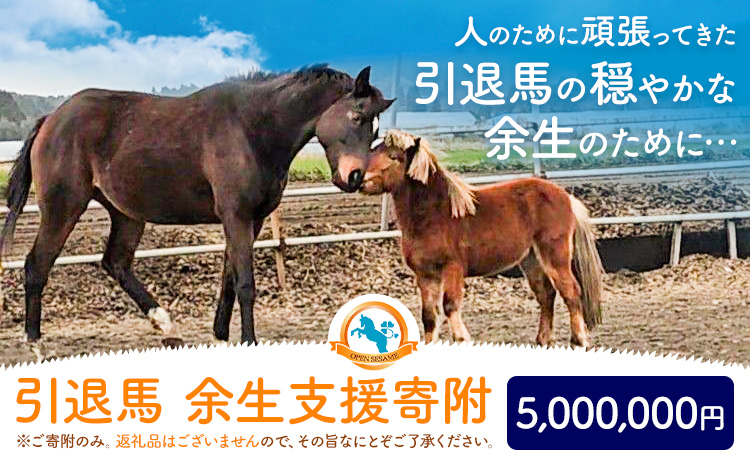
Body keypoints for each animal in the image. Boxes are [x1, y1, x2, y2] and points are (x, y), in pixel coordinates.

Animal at [0, 65, 394, 346]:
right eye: (356, 117)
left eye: (375, 130)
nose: (355, 177)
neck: (252, 128)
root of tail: (51, 119)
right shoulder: (236, 215)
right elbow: (246, 283)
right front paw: (249, 340)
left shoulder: (252, 220)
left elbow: (229, 279)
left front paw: (221, 335)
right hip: (63, 207)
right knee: (36, 265)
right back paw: (35, 343)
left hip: (126, 214)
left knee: (115, 262)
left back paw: (164, 323)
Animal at [359, 130, 604, 347]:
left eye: (394, 157)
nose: (359, 181)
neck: (435, 213)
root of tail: (567, 198)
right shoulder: (425, 275)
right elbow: (429, 316)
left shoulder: (453, 269)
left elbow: (450, 306)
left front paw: (462, 339)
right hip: (531, 260)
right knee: (546, 295)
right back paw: (543, 340)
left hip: (555, 257)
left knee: (571, 292)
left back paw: (579, 341)